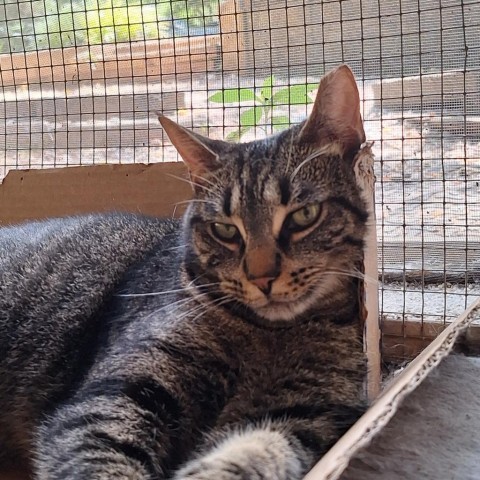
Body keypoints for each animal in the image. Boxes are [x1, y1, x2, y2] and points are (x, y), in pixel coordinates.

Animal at [0, 65, 368, 480]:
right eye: (225, 230)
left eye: (304, 216)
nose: (262, 278)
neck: (269, 336)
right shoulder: (120, 393)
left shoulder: (300, 415)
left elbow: (249, 454)